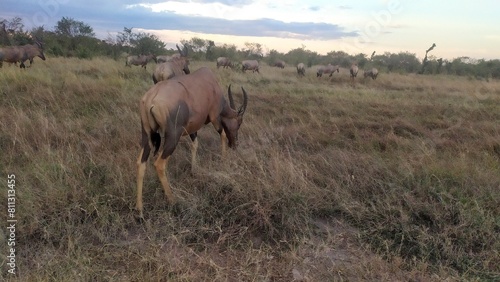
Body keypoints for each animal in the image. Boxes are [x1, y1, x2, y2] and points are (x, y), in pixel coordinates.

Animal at [136, 67, 249, 217]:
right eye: (239, 122)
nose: (235, 145)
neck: (209, 81)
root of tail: (151, 99)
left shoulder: (192, 128)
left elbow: (195, 144)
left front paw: (193, 169)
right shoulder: (215, 117)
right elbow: (223, 135)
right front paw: (224, 161)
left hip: (147, 134)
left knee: (140, 162)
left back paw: (139, 209)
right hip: (173, 137)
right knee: (159, 164)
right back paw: (172, 200)